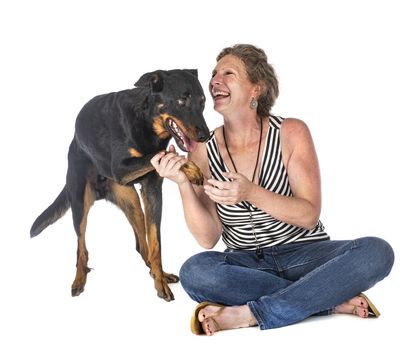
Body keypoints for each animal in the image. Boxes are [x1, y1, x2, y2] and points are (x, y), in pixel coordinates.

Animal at [30, 69, 210, 300]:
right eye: (181, 101)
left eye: (203, 102)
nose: (206, 135)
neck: (147, 122)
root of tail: (74, 142)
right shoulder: (121, 168)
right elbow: (159, 154)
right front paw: (191, 168)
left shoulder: (152, 190)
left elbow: (156, 242)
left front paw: (160, 282)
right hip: (79, 201)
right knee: (81, 247)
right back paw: (79, 279)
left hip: (132, 202)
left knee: (141, 245)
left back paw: (157, 273)